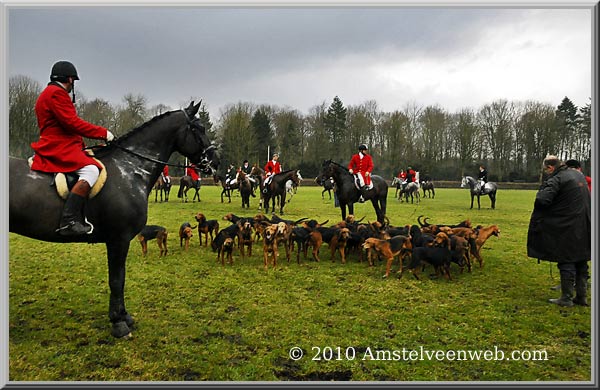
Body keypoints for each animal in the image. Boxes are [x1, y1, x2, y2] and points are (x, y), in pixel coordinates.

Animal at [8, 101, 220, 338]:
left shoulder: (120, 240)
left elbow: (121, 278)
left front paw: (124, 316)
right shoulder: (119, 239)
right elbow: (117, 280)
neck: (129, 168)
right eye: (199, 129)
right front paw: (118, 323)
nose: (216, 162)